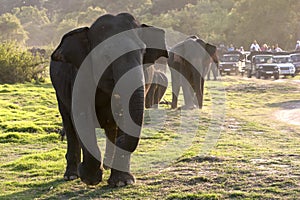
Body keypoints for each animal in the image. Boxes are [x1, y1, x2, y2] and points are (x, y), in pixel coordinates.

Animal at [51, 13, 169, 187]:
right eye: (106, 56)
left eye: (142, 53)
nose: (120, 141)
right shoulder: (78, 76)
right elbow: (82, 116)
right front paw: (89, 177)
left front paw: (123, 182)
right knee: (69, 122)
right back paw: (71, 175)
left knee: (110, 126)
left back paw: (107, 164)